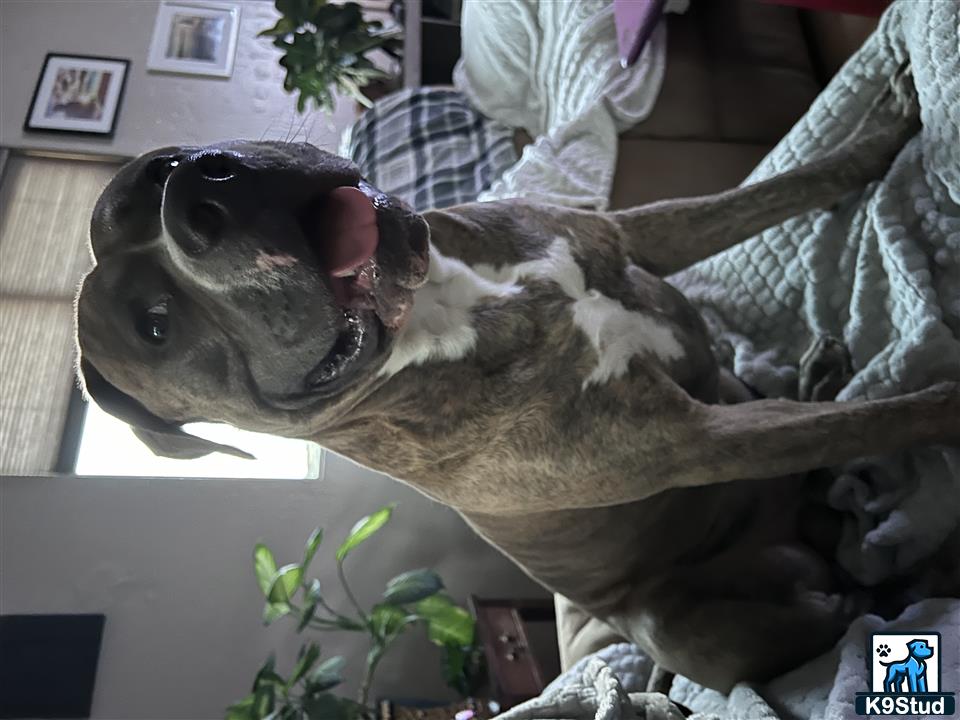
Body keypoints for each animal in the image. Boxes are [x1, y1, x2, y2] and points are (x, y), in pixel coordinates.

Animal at [77, 70, 960, 688]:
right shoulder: (691, 442)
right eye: (156, 327)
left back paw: (823, 375)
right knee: (846, 575)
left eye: (156, 172)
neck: (442, 305)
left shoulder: (637, 233)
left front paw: (887, 129)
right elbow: (876, 419)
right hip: (678, 623)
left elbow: (779, 189)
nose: (197, 189)